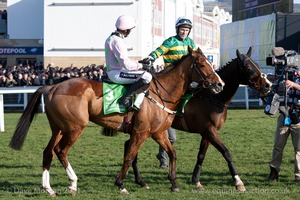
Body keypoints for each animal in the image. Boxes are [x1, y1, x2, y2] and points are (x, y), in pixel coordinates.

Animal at [8, 46, 225, 195]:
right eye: (203, 64)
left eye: (209, 63)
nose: (220, 84)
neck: (162, 93)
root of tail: (53, 87)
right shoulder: (141, 132)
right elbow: (129, 156)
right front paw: (121, 184)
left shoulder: (158, 132)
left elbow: (172, 154)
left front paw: (174, 183)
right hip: (75, 128)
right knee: (60, 151)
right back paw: (73, 183)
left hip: (59, 128)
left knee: (48, 152)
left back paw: (49, 188)